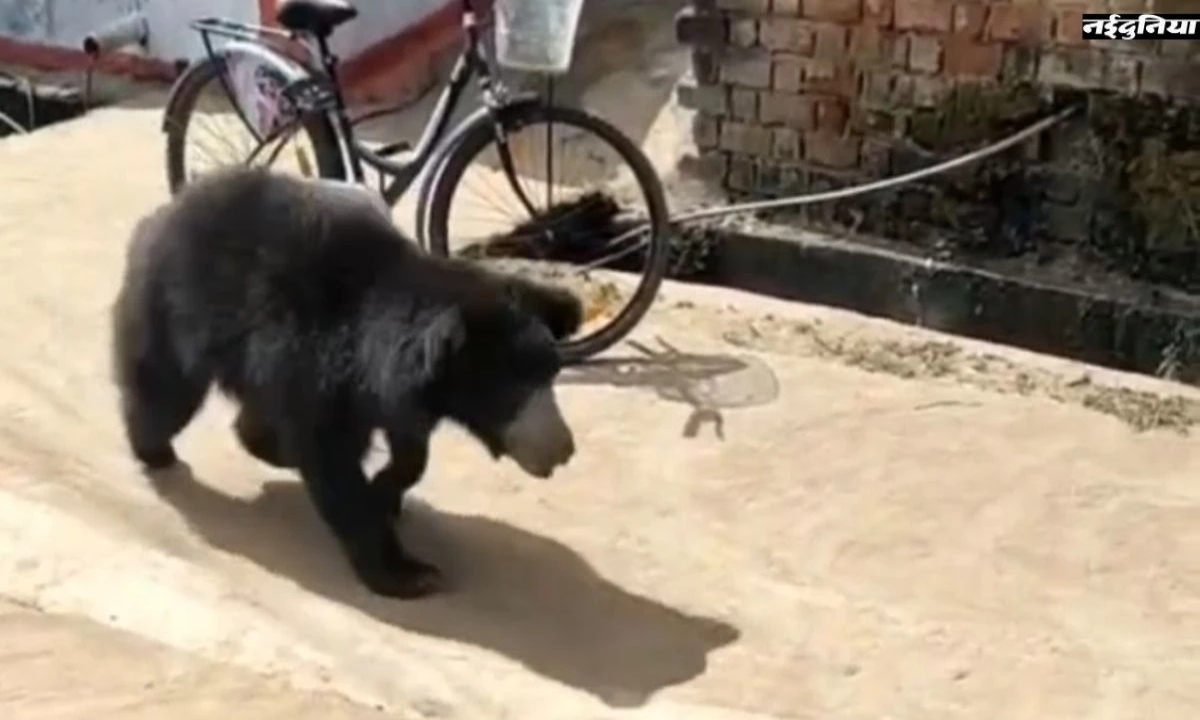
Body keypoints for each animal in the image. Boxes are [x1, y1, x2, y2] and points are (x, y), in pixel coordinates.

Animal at [111, 166, 584, 599]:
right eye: (513, 386)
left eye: (551, 374)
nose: (562, 449)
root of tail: (167, 208)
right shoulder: (318, 363)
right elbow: (332, 457)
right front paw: (409, 572)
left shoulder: (399, 391)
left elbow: (409, 449)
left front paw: (386, 492)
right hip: (179, 308)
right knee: (165, 389)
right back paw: (155, 449)